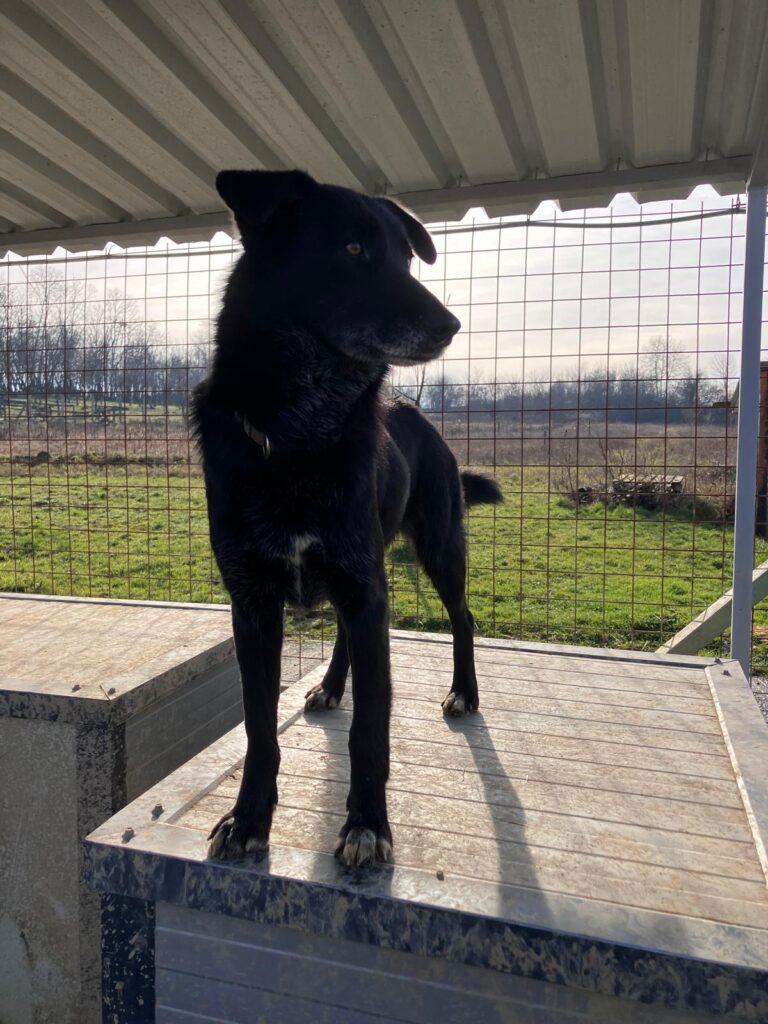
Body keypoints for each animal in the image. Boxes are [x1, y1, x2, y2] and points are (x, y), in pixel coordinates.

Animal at [192, 169, 502, 868]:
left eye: (407, 258)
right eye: (354, 249)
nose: (451, 325)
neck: (303, 432)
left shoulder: (368, 592)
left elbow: (371, 728)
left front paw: (366, 825)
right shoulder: (253, 603)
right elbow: (258, 726)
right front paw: (248, 819)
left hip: (438, 549)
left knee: (464, 617)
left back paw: (464, 692)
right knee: (343, 637)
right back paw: (333, 684)